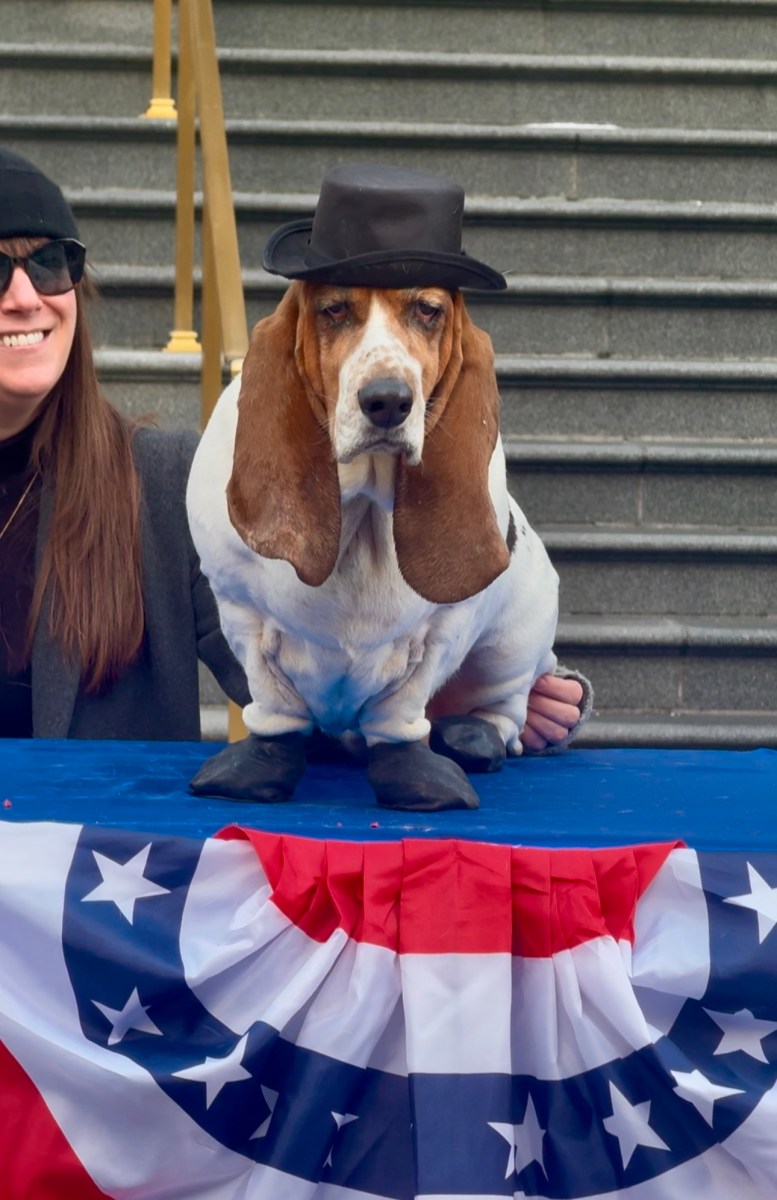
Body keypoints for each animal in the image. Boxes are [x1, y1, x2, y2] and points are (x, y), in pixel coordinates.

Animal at [184, 162, 561, 816]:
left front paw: (416, 774)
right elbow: (271, 702)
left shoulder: (442, 633)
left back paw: (472, 736)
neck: (360, 507)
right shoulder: (241, 613)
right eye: (334, 309)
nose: (387, 401)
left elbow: (402, 711)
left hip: (516, 641)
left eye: (429, 310)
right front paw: (256, 766)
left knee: (506, 710)